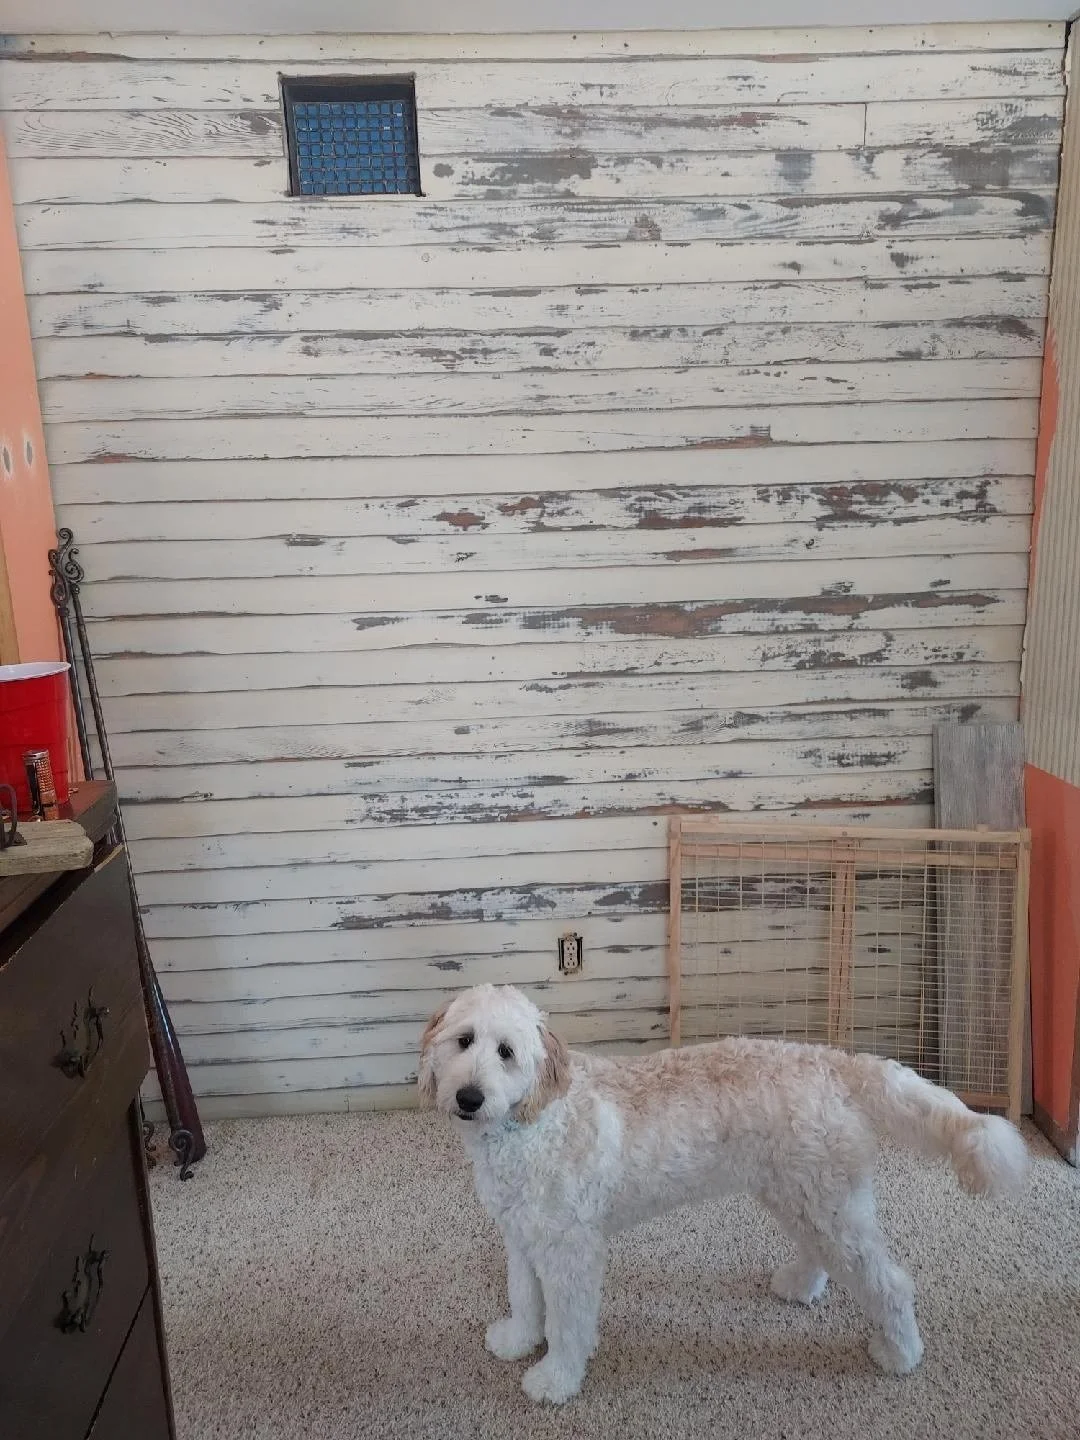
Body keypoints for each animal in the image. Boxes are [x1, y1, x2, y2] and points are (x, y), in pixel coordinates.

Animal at [418, 983, 1029, 1405]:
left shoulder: (571, 1249)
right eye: (464, 1041)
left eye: (506, 1051)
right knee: (821, 1252)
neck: (535, 1120)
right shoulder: (522, 1236)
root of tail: (836, 1061)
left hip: (827, 1205)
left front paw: (555, 1379)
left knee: (891, 1283)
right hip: (803, 1195)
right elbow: (525, 1298)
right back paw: (800, 1285)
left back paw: (900, 1354)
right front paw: (518, 1340)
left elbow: (567, 1322)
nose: (469, 1097)